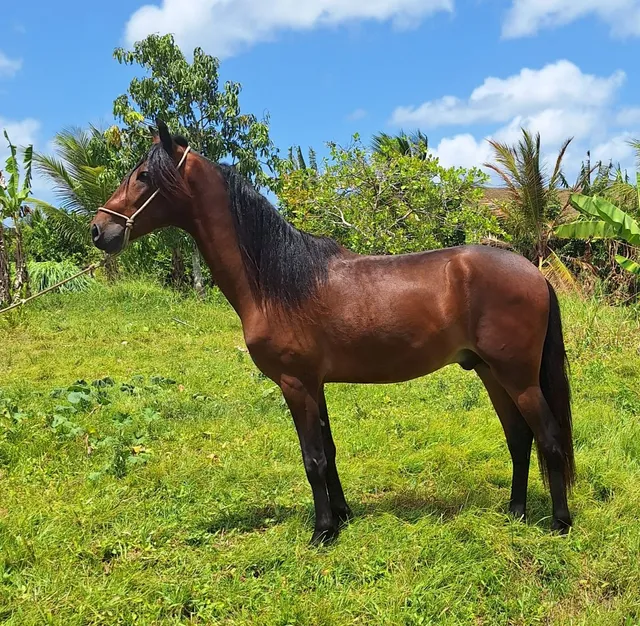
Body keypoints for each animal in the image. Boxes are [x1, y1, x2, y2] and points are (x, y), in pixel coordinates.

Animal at [90, 120, 576, 540]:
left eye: (144, 176)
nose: (99, 229)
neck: (277, 281)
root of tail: (534, 274)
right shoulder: (314, 384)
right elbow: (330, 451)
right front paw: (342, 516)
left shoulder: (295, 383)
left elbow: (313, 459)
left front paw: (323, 530)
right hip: (491, 373)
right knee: (519, 438)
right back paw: (515, 512)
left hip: (517, 377)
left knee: (549, 438)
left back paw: (559, 522)